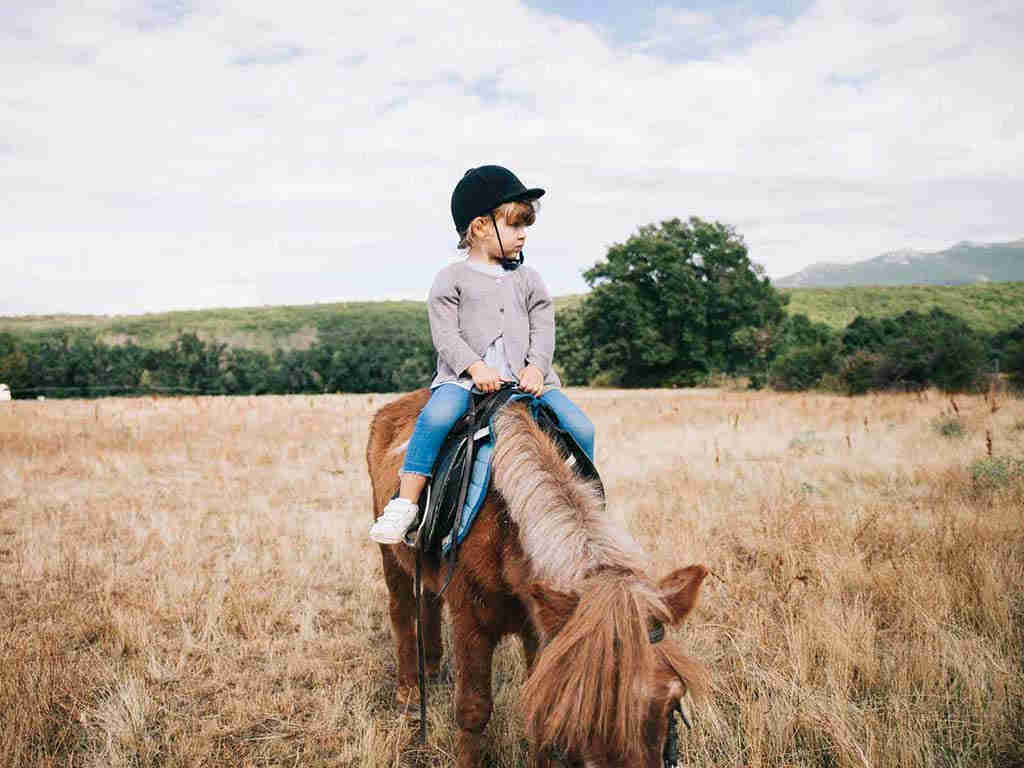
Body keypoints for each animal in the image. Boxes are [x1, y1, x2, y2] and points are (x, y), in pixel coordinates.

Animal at [368, 391, 712, 768]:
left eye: (672, 699)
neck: (504, 526)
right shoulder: (470, 623)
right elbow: (473, 712)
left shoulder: (539, 628)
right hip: (391, 556)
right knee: (402, 611)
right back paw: (409, 692)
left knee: (428, 601)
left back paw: (429, 667)